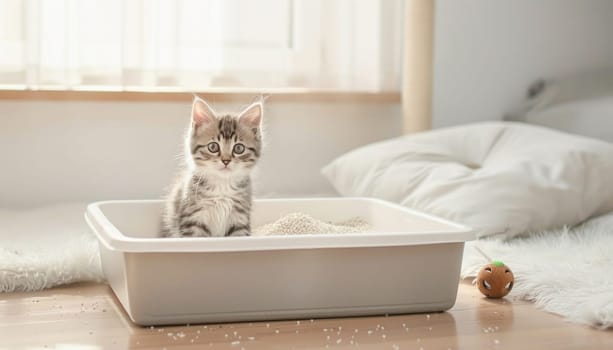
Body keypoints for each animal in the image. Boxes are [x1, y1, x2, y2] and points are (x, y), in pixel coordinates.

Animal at [160, 97, 262, 237]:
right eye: (213, 147)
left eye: (239, 148)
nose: (226, 160)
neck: (222, 186)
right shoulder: (193, 219)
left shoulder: (239, 219)